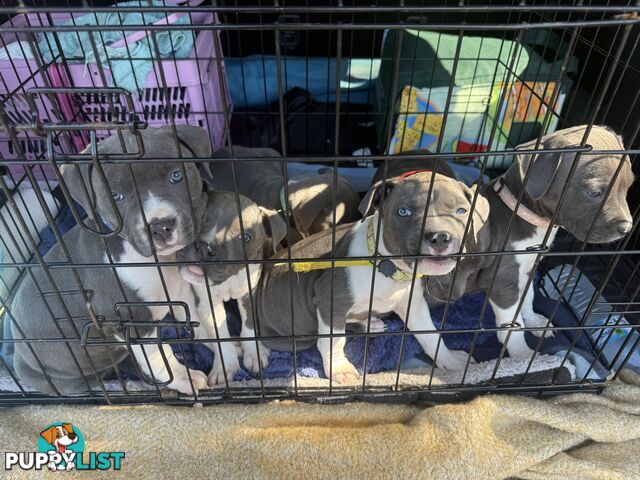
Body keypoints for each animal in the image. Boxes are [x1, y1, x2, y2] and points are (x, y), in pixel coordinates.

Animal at [10, 125, 210, 396]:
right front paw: (184, 378)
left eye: (176, 176)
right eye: (116, 195)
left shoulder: (179, 291)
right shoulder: (134, 324)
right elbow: (161, 356)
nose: (160, 227)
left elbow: (198, 318)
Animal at [175, 191, 284, 382]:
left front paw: (254, 353)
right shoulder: (207, 304)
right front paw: (225, 367)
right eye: (199, 217)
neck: (229, 280)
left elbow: (248, 325)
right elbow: (220, 337)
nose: (204, 247)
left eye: (245, 237)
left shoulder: (249, 295)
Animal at [252, 171, 488, 380]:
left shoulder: (413, 304)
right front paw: (339, 369)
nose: (440, 237)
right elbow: (333, 340)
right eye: (403, 212)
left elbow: (430, 334)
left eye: (461, 210)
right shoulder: (331, 299)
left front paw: (449, 359)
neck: (388, 269)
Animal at [418, 124, 636, 356]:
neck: (521, 213)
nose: (626, 229)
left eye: (628, 187)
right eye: (594, 192)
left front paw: (536, 322)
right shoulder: (503, 282)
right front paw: (522, 356)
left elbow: (528, 297)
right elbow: (511, 327)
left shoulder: (526, 269)